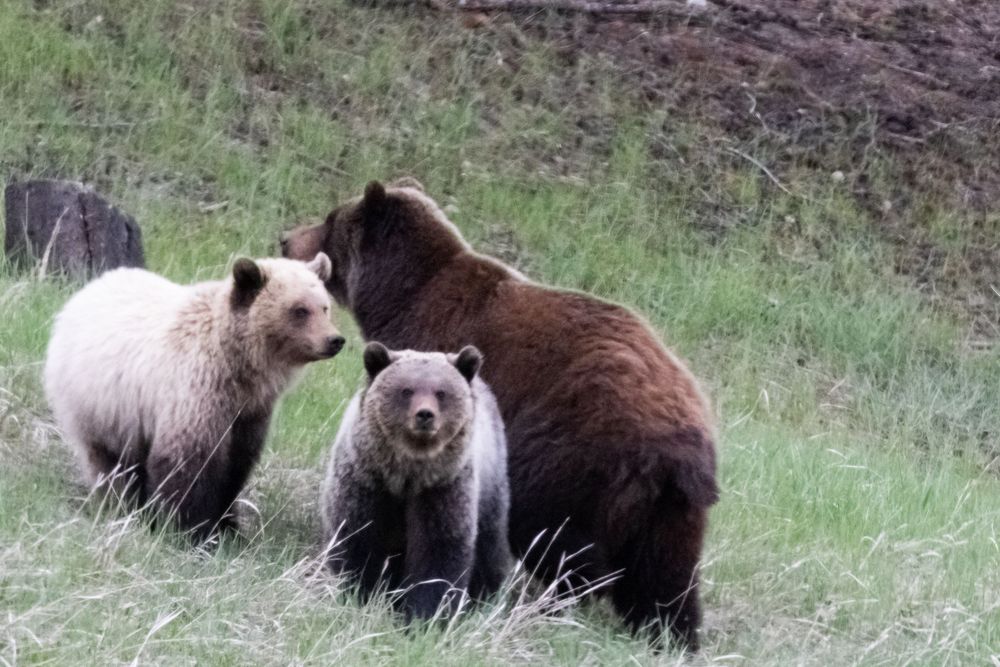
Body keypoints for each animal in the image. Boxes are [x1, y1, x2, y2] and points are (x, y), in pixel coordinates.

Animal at [44, 253, 344, 542]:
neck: (239, 367)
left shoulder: (250, 413)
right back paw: (124, 506)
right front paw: (191, 529)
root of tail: (87, 289)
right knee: (111, 463)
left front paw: (229, 527)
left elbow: (236, 466)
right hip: (100, 406)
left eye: (324, 306)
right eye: (299, 309)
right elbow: (190, 463)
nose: (335, 340)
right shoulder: (196, 391)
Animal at [321, 341, 511, 621]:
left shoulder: (442, 488)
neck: (406, 474)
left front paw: (426, 615)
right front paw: (358, 593)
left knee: (490, 544)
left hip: (490, 483)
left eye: (441, 392)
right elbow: (357, 538)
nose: (425, 415)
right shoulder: (366, 480)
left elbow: (438, 551)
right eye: (406, 390)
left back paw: (484, 596)